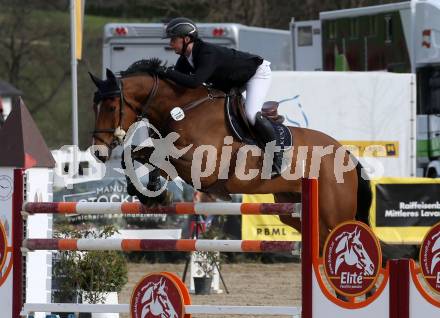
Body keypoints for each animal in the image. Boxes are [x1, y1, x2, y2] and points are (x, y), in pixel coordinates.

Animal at [89, 59, 372, 248]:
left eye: (111, 106)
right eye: (95, 106)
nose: (99, 151)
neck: (183, 109)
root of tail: (346, 154)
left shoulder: (202, 166)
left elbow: (159, 158)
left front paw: (155, 191)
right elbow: (138, 155)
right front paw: (147, 192)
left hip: (335, 212)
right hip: (291, 206)